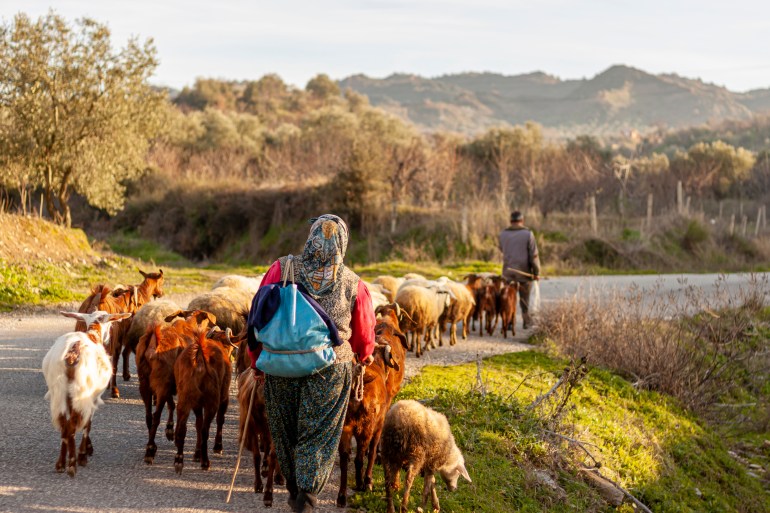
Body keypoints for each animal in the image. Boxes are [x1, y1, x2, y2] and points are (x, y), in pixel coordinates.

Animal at [42, 308, 131, 476]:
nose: (109, 338)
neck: (93, 334)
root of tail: (72, 353)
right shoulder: (93, 397)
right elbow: (88, 424)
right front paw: (84, 454)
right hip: (82, 391)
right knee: (73, 424)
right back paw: (72, 465)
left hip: (59, 391)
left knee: (64, 425)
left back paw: (61, 464)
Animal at [174, 328, 234, 472]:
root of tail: (200, 356)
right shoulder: (224, 396)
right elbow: (219, 419)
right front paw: (218, 447)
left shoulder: (196, 404)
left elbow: (198, 424)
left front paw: (196, 453)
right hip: (212, 400)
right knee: (205, 429)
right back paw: (205, 462)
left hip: (185, 398)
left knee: (183, 428)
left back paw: (179, 460)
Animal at [336, 342, 400, 506]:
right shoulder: (378, 427)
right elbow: (372, 452)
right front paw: (369, 481)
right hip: (365, 428)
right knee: (359, 458)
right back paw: (361, 484)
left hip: (345, 427)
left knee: (344, 458)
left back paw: (342, 496)